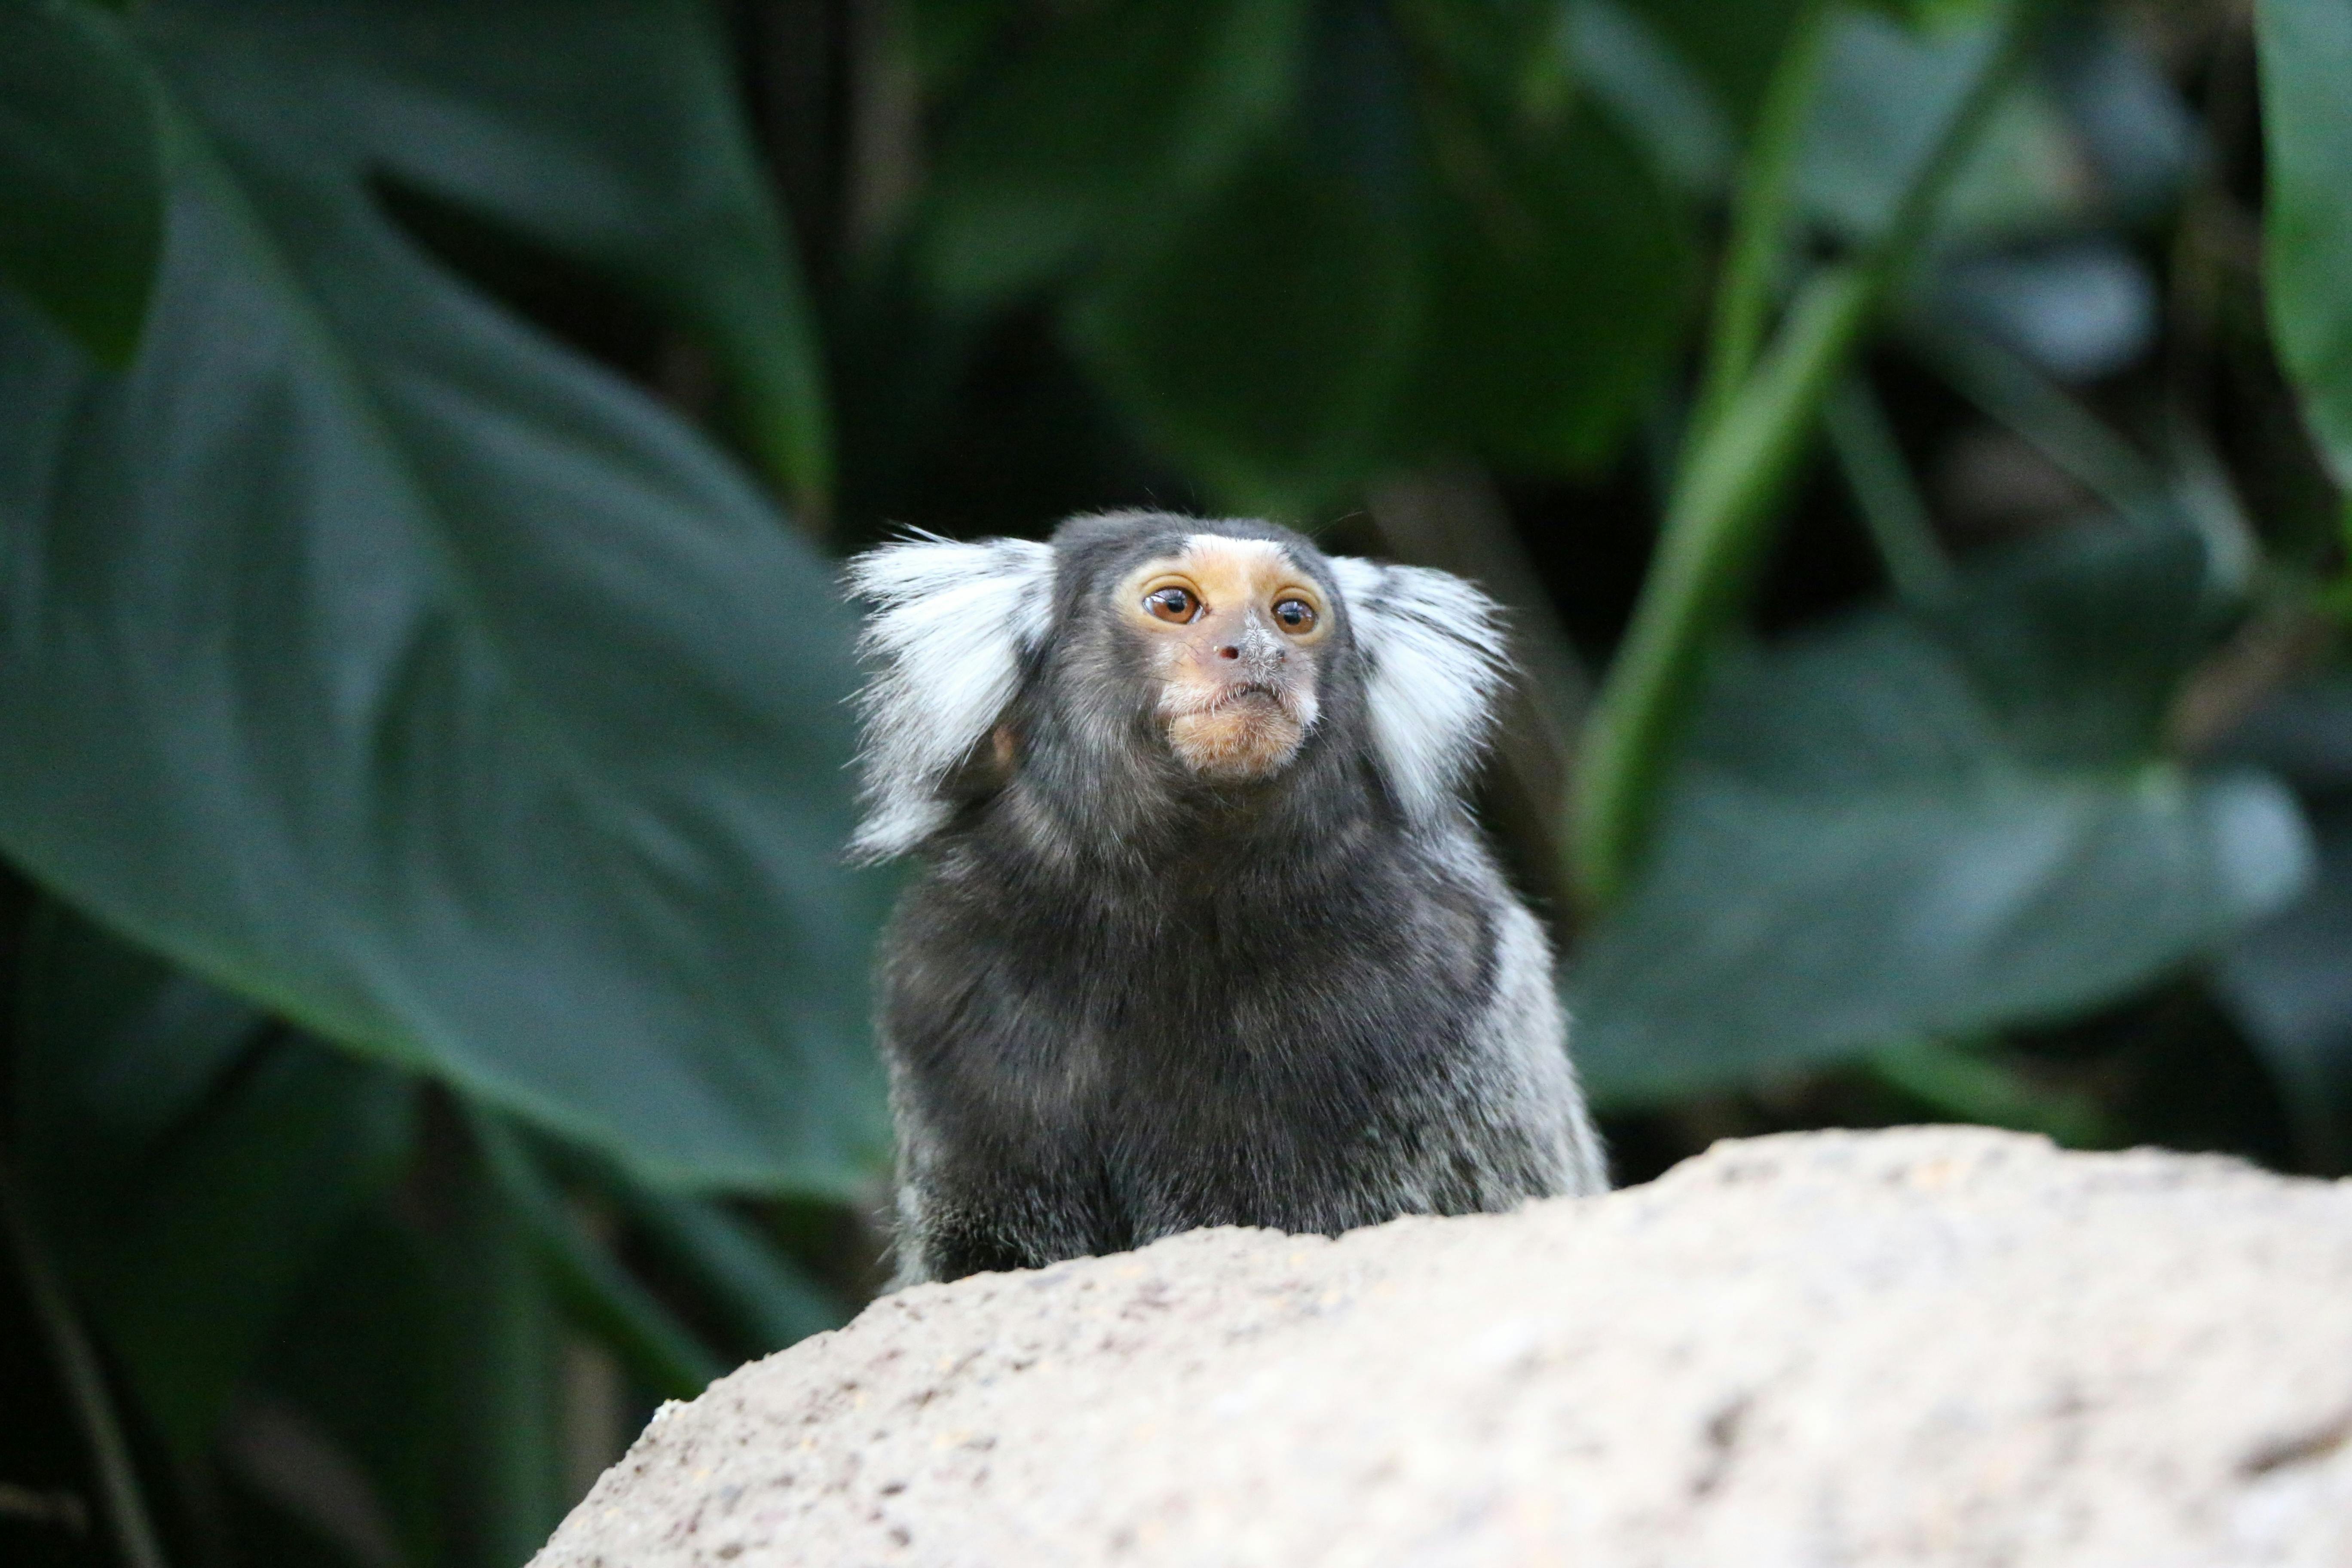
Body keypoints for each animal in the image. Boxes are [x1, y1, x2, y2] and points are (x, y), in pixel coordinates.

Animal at [846, 510, 1606, 1286]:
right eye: (1174, 604)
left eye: (1293, 615)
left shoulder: (1450, 976)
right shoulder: (941, 994)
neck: (1160, 914)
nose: (1260, 652)